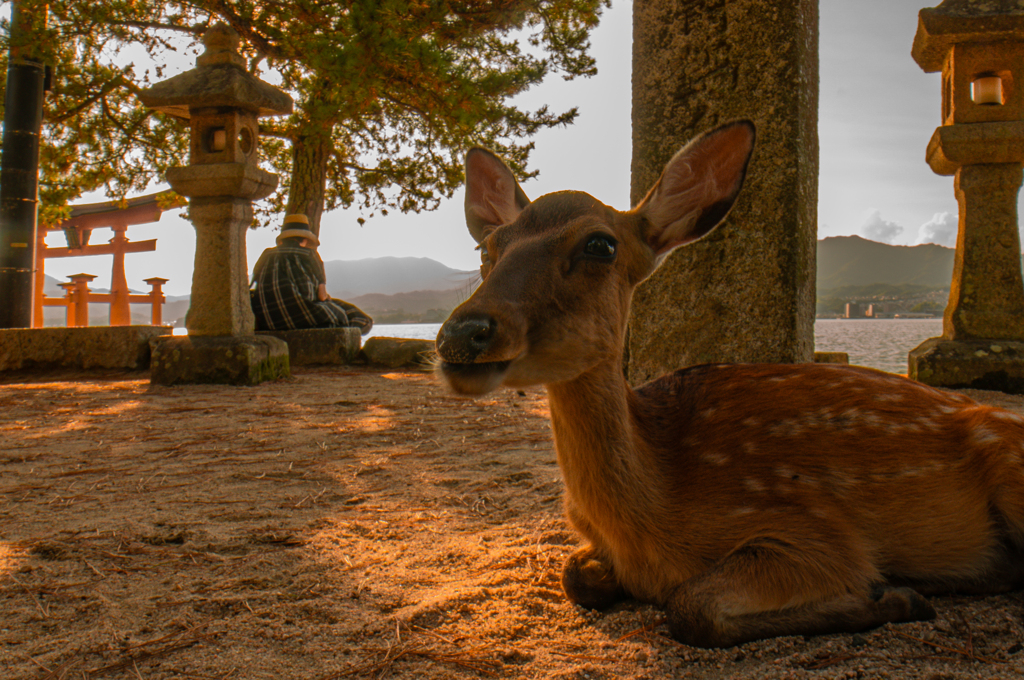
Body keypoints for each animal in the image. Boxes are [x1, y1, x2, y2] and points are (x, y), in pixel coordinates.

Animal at [436, 120, 1024, 647]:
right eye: (487, 249)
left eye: (600, 245)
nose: (463, 333)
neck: (647, 527)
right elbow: (574, 576)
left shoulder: (814, 528)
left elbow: (691, 606)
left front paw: (895, 595)